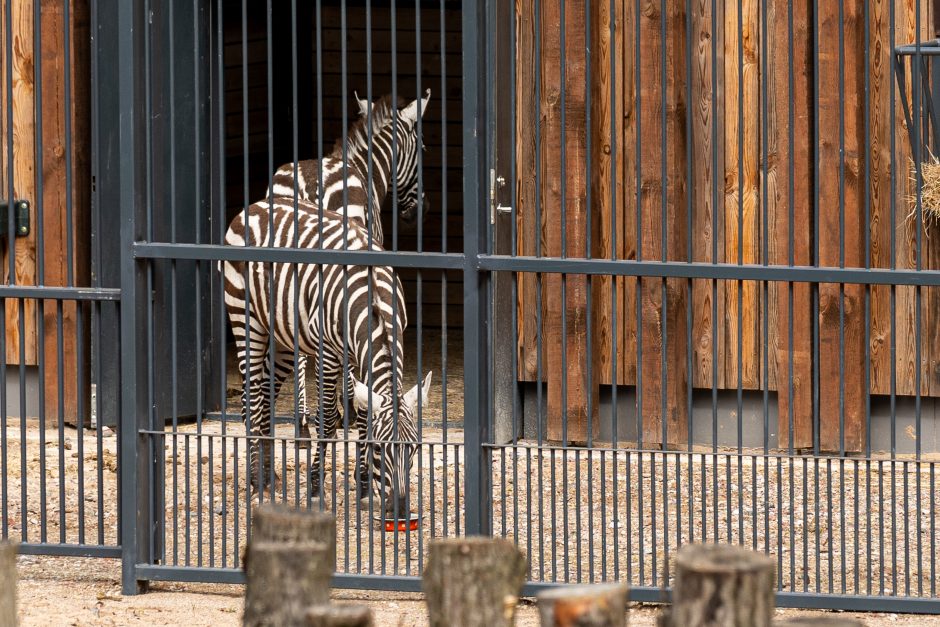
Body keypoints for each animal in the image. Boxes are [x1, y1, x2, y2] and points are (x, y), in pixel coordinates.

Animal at [222, 199, 432, 516]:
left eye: (415, 448)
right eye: (380, 448)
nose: (399, 510)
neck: (372, 301)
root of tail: (256, 205)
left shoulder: (360, 358)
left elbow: (362, 419)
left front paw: (364, 488)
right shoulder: (329, 355)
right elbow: (329, 418)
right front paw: (315, 489)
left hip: (285, 337)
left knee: (267, 392)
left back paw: (270, 475)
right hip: (245, 318)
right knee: (252, 397)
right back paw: (257, 480)